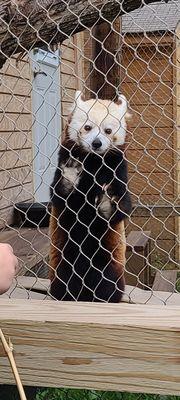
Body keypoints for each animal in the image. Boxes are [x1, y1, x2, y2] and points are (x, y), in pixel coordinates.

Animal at [48, 91, 131, 304]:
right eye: (87, 127)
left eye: (108, 130)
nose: (96, 143)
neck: (93, 161)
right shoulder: (63, 159)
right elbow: (59, 196)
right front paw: (70, 177)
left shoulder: (119, 169)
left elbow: (123, 207)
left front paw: (107, 203)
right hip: (63, 260)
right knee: (63, 282)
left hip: (109, 261)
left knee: (108, 284)